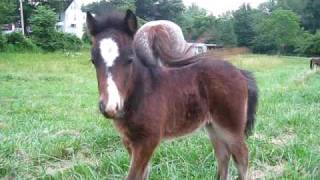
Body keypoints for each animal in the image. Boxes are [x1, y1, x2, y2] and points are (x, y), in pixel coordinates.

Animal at [86, 10, 258, 180]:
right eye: (93, 61)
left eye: (130, 59)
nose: (110, 107)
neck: (141, 92)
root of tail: (239, 72)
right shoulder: (129, 141)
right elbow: (143, 174)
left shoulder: (148, 141)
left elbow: (134, 175)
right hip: (214, 127)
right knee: (223, 156)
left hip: (231, 128)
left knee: (242, 157)